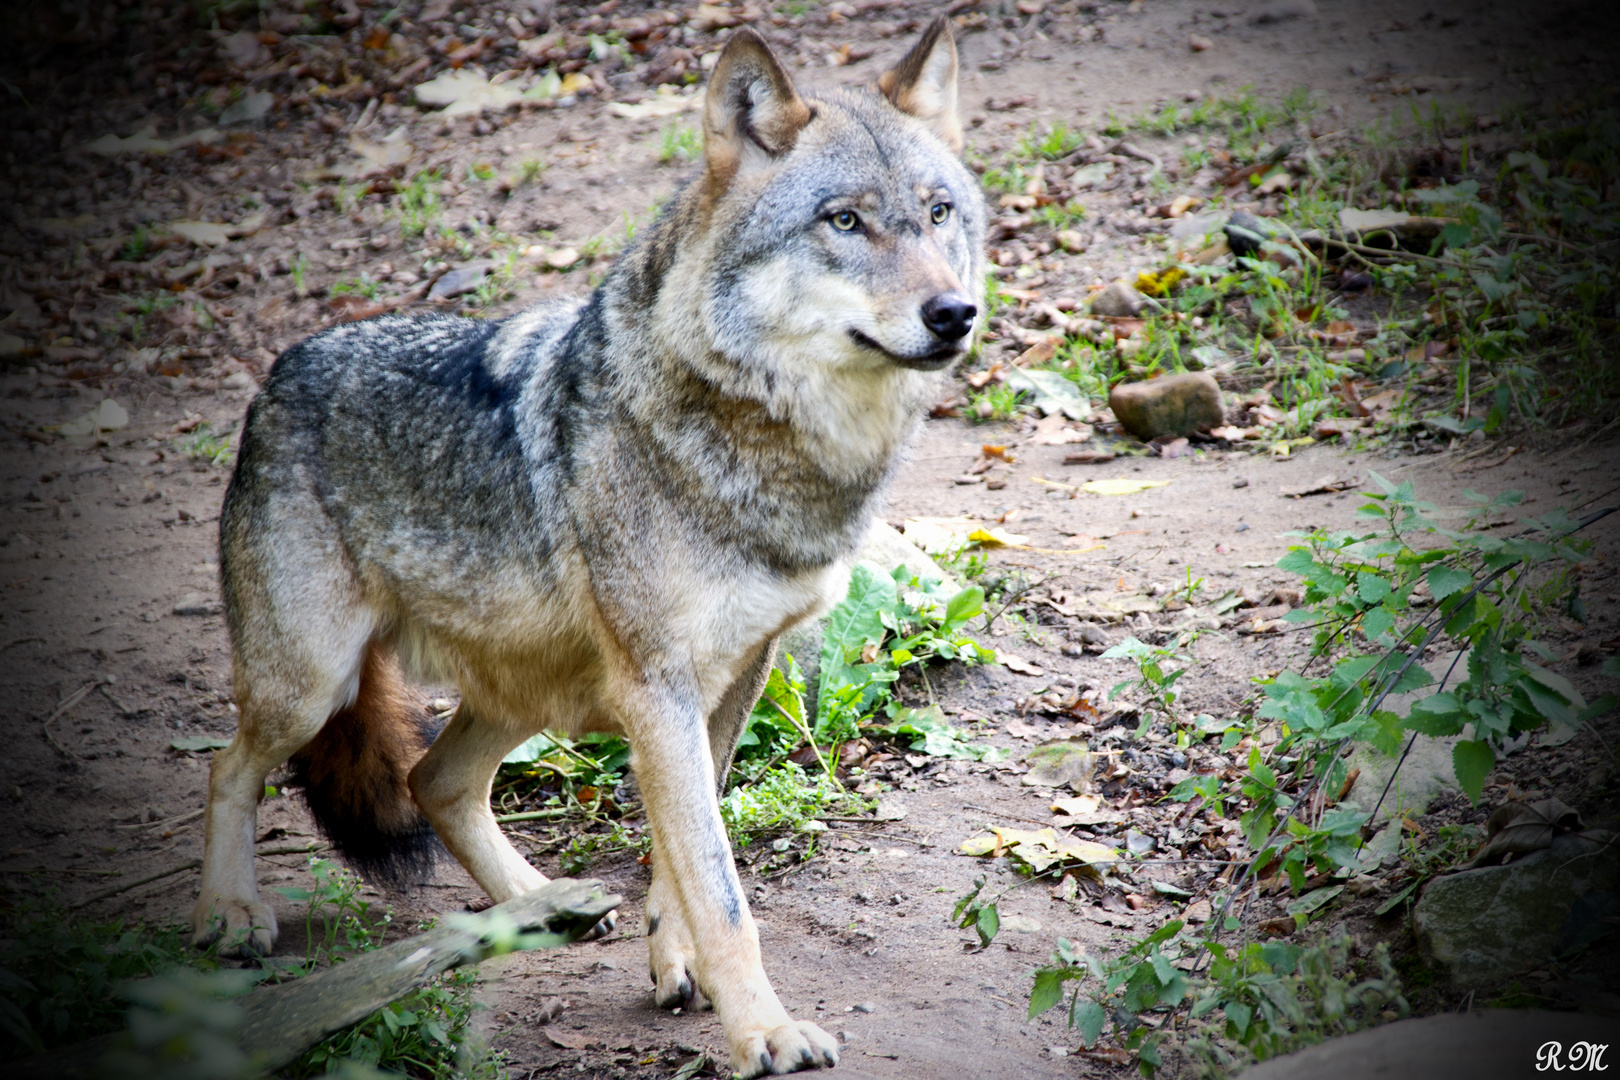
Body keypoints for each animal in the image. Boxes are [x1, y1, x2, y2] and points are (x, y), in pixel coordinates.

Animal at [194, 14, 984, 1075]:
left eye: (939, 214)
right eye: (845, 223)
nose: (954, 314)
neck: (760, 442)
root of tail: (277, 375)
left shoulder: (728, 677)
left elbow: (684, 860)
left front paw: (677, 969)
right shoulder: (660, 688)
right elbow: (722, 890)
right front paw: (766, 1033)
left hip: (536, 691)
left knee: (434, 779)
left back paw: (537, 908)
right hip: (314, 685)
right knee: (230, 767)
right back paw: (232, 913)